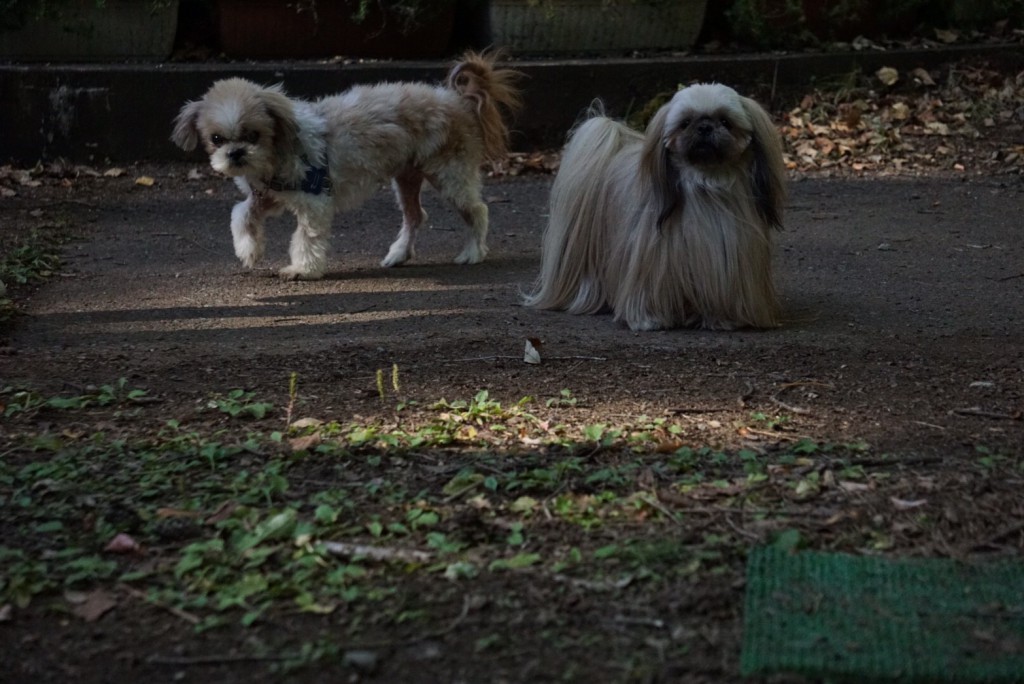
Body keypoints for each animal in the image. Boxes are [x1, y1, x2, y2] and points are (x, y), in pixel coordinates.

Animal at [524, 83, 786, 329]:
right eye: (685, 123)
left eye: (725, 121)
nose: (704, 127)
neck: (705, 184)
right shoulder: (652, 262)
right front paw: (649, 320)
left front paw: (723, 319)